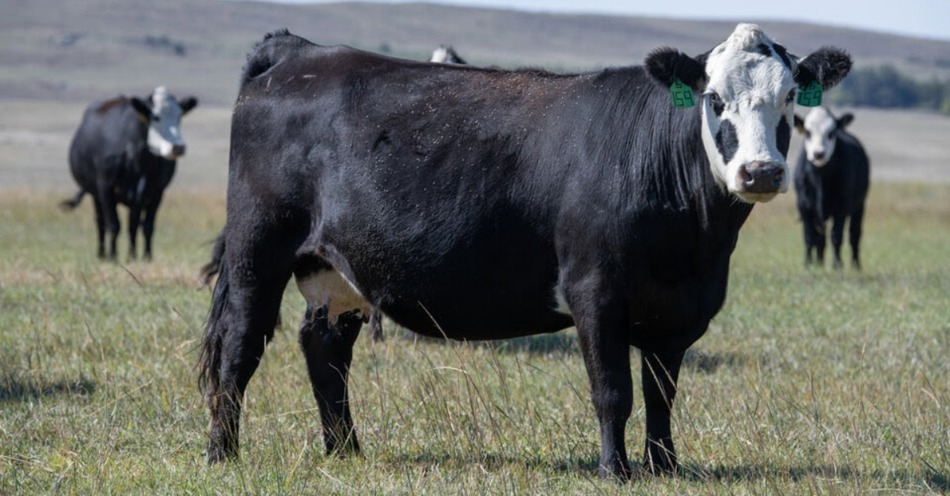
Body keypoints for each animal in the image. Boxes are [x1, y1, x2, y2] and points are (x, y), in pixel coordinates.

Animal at [61, 86, 197, 260]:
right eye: (155, 117)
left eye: (179, 116)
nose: (178, 147)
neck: (136, 155)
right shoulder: (105, 188)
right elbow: (114, 224)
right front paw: (113, 256)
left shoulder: (155, 192)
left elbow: (143, 226)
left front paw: (142, 256)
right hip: (95, 193)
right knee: (100, 222)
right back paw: (102, 254)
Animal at [198, 25, 851, 479]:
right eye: (714, 99)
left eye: (789, 97)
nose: (760, 171)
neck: (691, 248)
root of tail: (300, 52)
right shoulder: (594, 293)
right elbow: (613, 390)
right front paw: (615, 470)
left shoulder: (680, 309)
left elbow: (661, 394)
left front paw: (665, 466)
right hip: (258, 252)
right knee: (240, 346)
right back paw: (222, 452)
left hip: (336, 270)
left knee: (325, 348)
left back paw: (345, 450)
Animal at [793, 107, 870, 269]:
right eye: (808, 132)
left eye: (831, 132)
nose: (818, 153)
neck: (820, 178)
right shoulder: (804, 207)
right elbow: (809, 237)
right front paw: (808, 264)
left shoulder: (841, 207)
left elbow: (836, 236)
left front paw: (837, 264)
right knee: (820, 239)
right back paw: (819, 263)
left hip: (859, 206)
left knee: (854, 234)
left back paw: (855, 265)